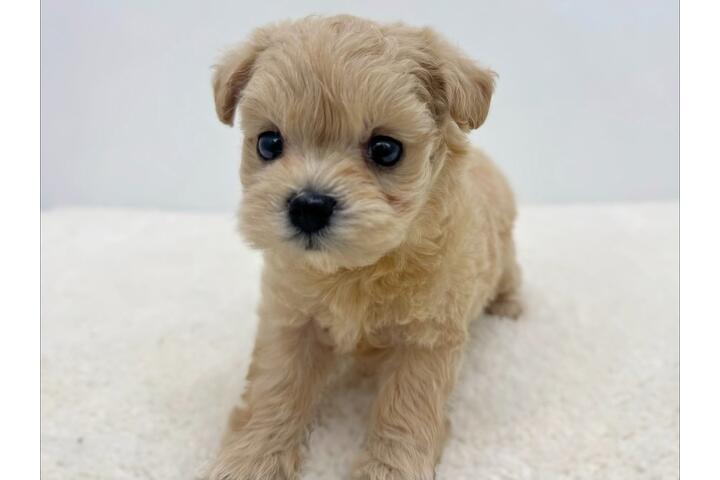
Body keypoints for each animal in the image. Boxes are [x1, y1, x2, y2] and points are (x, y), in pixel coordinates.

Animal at [209, 15, 522, 480]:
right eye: (268, 143)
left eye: (386, 149)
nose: (309, 206)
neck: (355, 269)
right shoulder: (290, 320)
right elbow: (275, 389)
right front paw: (250, 461)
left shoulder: (425, 340)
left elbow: (406, 408)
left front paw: (388, 469)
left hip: (504, 253)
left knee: (511, 274)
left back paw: (509, 307)